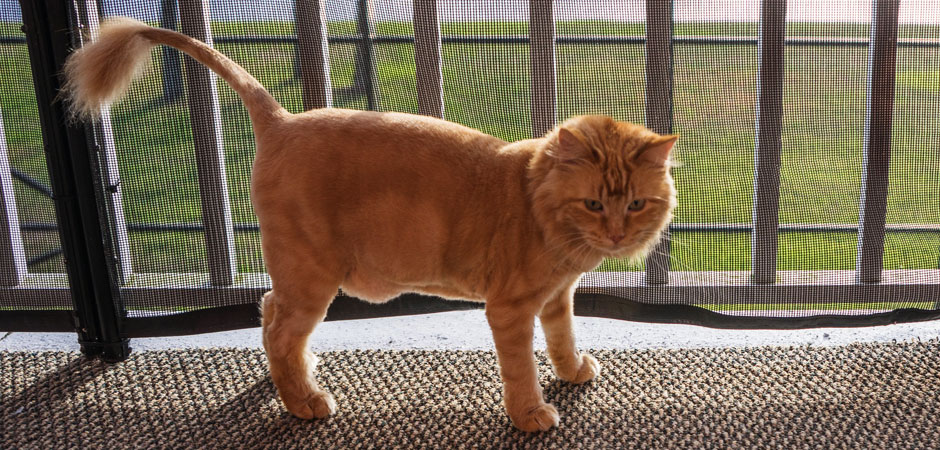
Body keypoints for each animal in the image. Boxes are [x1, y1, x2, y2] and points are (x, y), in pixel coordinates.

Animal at [64, 18, 676, 432]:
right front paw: (530, 413)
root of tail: (282, 120)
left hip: (298, 277)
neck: (536, 202)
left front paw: (572, 371)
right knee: (281, 329)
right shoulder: (510, 308)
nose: (618, 235)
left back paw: (295, 378)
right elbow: (522, 368)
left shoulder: (555, 298)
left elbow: (563, 340)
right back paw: (303, 402)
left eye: (636, 205)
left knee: (269, 313)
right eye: (594, 204)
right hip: (313, 276)